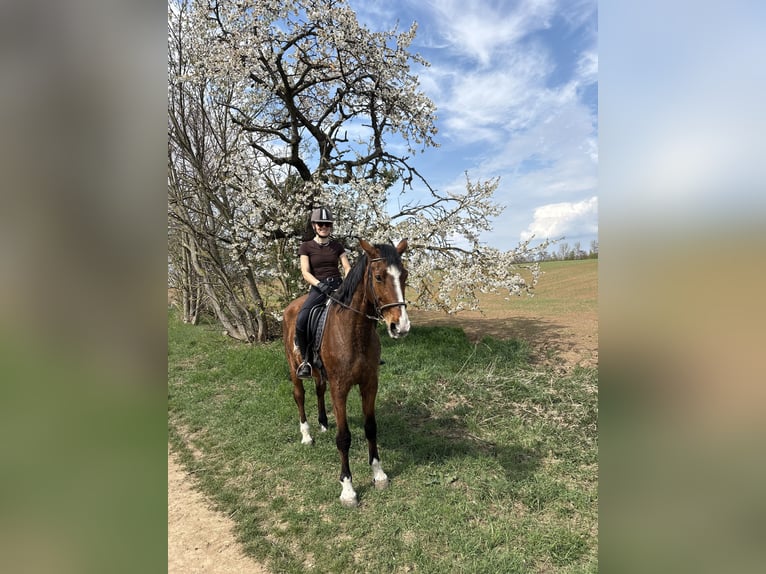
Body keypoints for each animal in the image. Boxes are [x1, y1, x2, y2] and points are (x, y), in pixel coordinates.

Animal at [282, 239, 410, 507]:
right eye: (379, 277)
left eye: (404, 275)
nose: (401, 326)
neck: (354, 330)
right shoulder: (340, 388)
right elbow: (344, 438)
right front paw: (348, 489)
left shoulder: (369, 384)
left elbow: (371, 427)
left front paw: (379, 475)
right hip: (293, 368)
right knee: (300, 396)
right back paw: (306, 435)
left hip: (320, 374)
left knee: (319, 390)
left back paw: (322, 424)